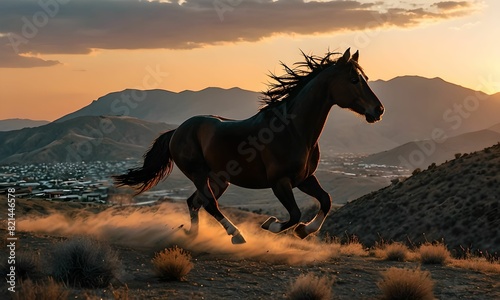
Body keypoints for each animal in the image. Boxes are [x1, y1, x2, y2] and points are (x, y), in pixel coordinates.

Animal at [115, 48, 384, 244]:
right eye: (354, 80)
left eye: (366, 78)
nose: (378, 110)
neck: (293, 130)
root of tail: (176, 131)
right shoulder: (280, 182)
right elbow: (294, 214)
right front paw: (271, 223)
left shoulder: (305, 178)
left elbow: (326, 200)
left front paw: (304, 231)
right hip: (200, 174)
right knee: (209, 204)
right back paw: (236, 235)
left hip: (219, 179)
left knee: (195, 202)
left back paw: (194, 235)